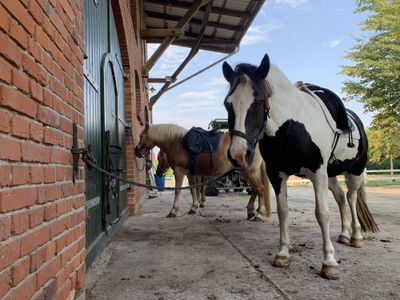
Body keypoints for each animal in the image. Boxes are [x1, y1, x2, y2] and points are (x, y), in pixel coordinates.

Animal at [135, 123, 272, 219]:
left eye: (141, 136)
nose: (136, 151)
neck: (177, 142)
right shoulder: (190, 173)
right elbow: (193, 189)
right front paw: (194, 208)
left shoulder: (180, 171)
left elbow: (178, 190)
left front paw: (174, 211)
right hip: (247, 172)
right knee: (255, 189)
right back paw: (251, 211)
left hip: (250, 171)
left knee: (260, 189)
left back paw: (259, 214)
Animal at [222, 53, 378, 278]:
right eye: (228, 104)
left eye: (259, 101)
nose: (238, 154)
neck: (291, 126)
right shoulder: (277, 175)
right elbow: (283, 211)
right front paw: (283, 254)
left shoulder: (317, 174)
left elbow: (322, 214)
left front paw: (329, 262)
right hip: (331, 175)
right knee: (341, 197)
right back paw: (344, 234)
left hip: (354, 172)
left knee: (351, 198)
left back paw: (356, 236)